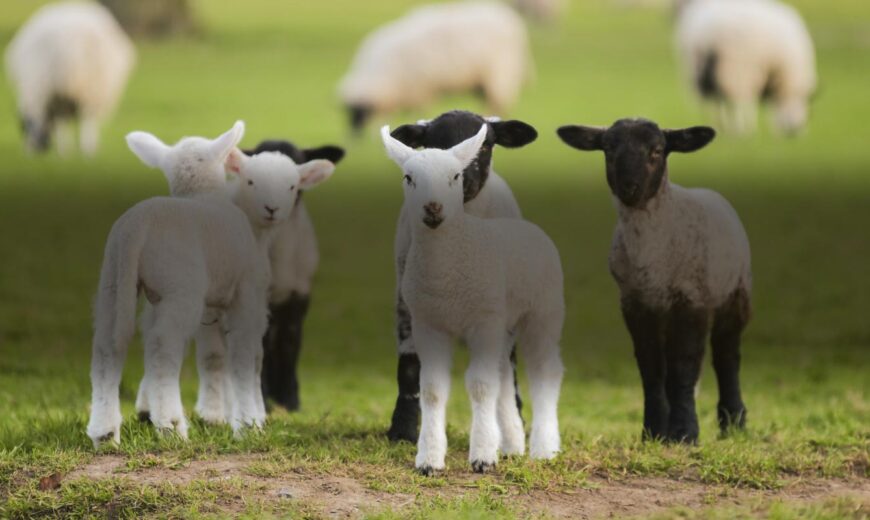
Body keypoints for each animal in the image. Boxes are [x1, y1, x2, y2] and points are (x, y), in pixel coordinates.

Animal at [4, 1, 135, 155]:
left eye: (22, 126)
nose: (31, 151)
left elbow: (62, 122)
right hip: (89, 87)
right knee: (86, 117)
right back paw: (87, 148)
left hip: (81, 87)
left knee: (83, 118)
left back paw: (80, 148)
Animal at [338, 2, 531, 133]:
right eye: (348, 112)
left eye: (360, 112)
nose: (354, 136)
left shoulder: (419, 90)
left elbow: (418, 110)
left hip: (500, 72)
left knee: (497, 102)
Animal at [382, 123, 565, 474]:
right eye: (408, 178)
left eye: (455, 176)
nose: (433, 207)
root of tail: (529, 227)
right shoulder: (429, 323)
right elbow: (433, 390)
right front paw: (429, 460)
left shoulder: (483, 320)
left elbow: (480, 386)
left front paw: (482, 457)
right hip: (503, 323)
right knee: (504, 373)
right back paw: (511, 444)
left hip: (543, 312)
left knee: (545, 371)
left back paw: (544, 447)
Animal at [557, 117, 751, 443]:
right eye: (608, 148)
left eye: (657, 150)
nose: (629, 187)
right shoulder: (635, 304)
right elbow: (651, 368)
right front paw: (654, 432)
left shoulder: (691, 301)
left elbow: (684, 366)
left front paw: (685, 434)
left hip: (736, 293)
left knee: (727, 357)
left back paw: (733, 423)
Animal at [675, 0, 817, 135]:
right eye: (805, 103)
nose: (795, 131)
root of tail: (706, 35)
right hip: (736, 67)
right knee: (738, 101)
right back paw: (743, 128)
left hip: (699, 67)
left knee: (715, 99)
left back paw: (718, 125)